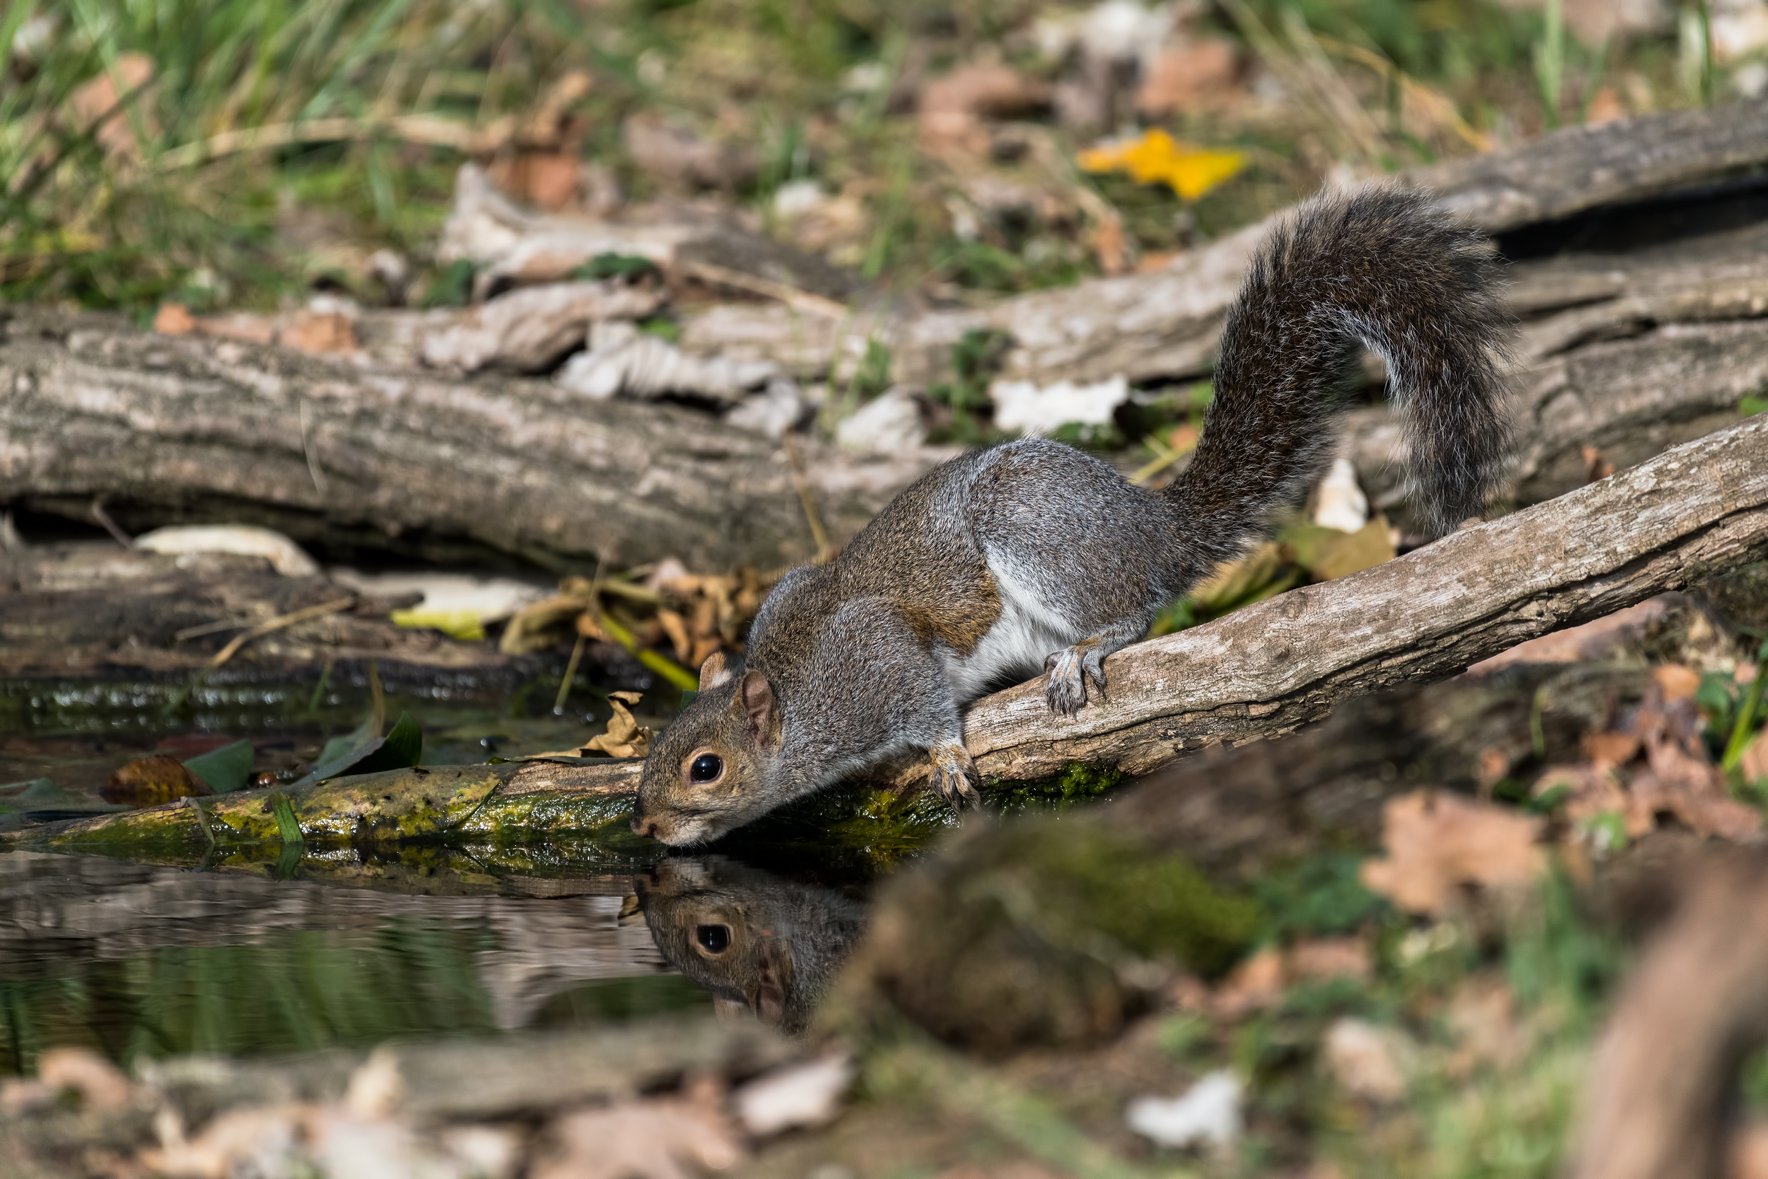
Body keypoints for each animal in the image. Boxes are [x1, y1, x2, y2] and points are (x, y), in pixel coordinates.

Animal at [631, 186, 1511, 846]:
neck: (795, 693)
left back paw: (1085, 650)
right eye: (651, 744)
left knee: (1139, 605)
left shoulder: (876, 660)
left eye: (705, 767)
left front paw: (946, 755)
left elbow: (926, 702)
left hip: (1034, 534)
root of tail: (1153, 524)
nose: (644, 826)